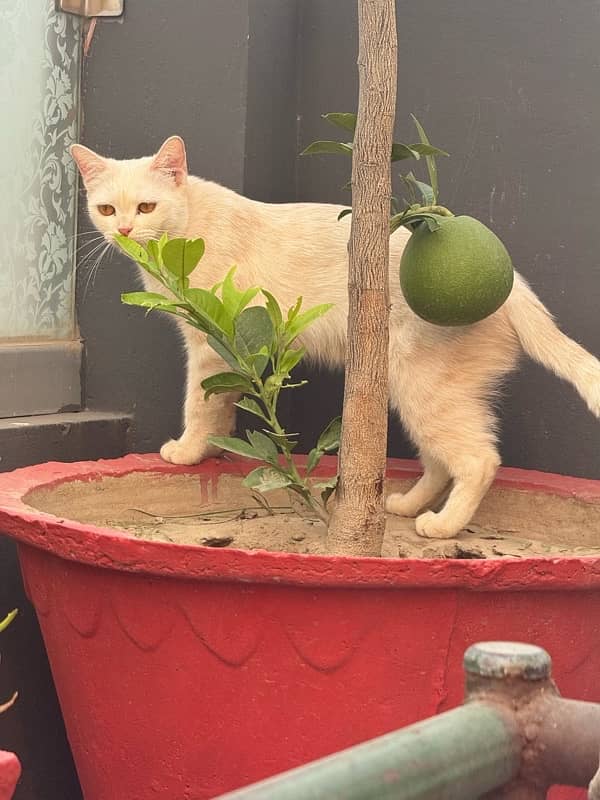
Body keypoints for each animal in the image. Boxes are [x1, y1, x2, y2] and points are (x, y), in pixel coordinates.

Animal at [71, 136, 600, 536]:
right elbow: (222, 405)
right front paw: (215, 448)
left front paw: (187, 450)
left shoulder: (210, 344)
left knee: (478, 460)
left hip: (424, 391)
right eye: (106, 209)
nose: (123, 229)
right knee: (440, 461)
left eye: (146, 207)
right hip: (418, 392)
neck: (189, 225)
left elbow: (198, 404)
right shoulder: (229, 353)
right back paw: (406, 506)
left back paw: (441, 526)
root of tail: (516, 288)